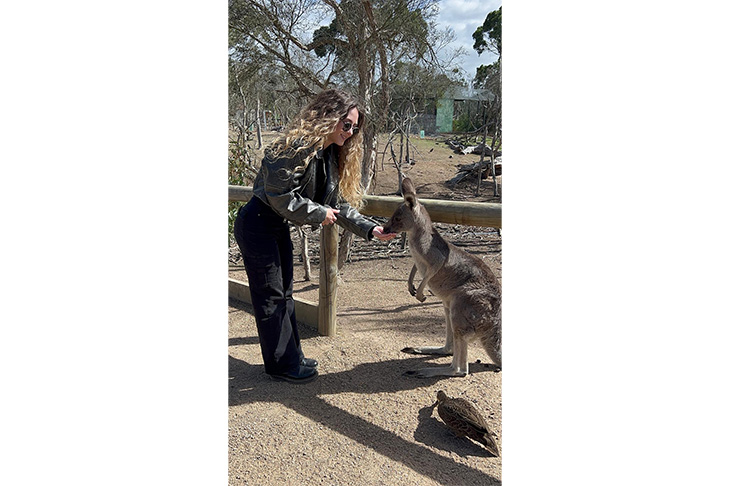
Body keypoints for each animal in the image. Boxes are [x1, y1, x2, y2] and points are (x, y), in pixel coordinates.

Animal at [382, 178, 501, 377]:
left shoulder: (436, 257)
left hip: (464, 302)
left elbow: (431, 271)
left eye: (397, 218)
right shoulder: (418, 260)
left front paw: (420, 294)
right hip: (449, 306)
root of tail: (494, 323)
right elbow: (416, 269)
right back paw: (422, 350)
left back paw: (426, 371)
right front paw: (411, 286)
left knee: (461, 369)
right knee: (450, 349)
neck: (416, 237)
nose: (384, 229)